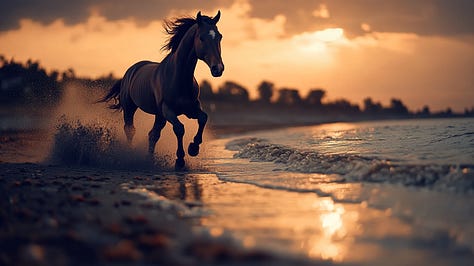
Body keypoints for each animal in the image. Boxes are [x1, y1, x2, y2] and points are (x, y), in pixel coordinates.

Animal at [98, 11, 224, 169]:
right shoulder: (167, 110)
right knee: (130, 129)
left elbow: (203, 118)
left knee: (153, 134)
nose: (218, 68)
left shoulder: (191, 109)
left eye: (220, 36)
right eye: (201, 37)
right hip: (130, 108)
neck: (178, 78)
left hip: (158, 115)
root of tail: (131, 70)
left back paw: (149, 159)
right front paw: (180, 160)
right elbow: (179, 128)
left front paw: (193, 148)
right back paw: (130, 154)